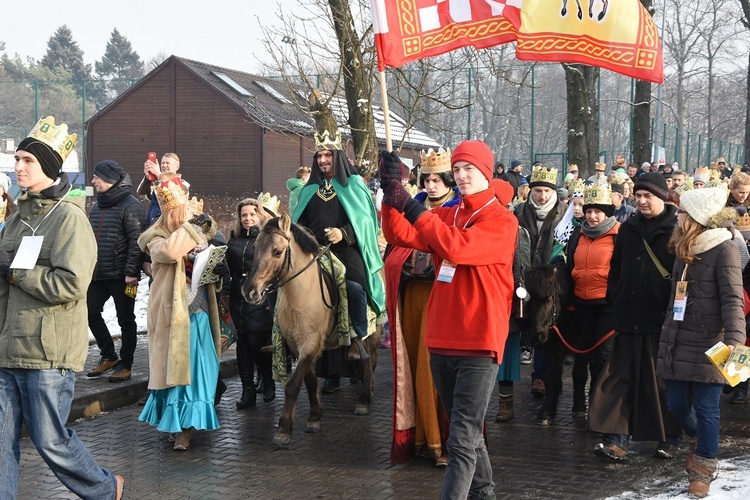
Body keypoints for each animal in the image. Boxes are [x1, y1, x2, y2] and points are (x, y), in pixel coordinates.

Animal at [242, 213, 382, 448]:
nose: (250, 291)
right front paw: (315, 417)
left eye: (277, 251)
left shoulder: (311, 343)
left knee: (368, 361)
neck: (299, 296)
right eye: (255, 248)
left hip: (373, 331)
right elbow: (309, 380)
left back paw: (363, 400)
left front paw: (283, 430)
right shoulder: (297, 345)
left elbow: (292, 385)